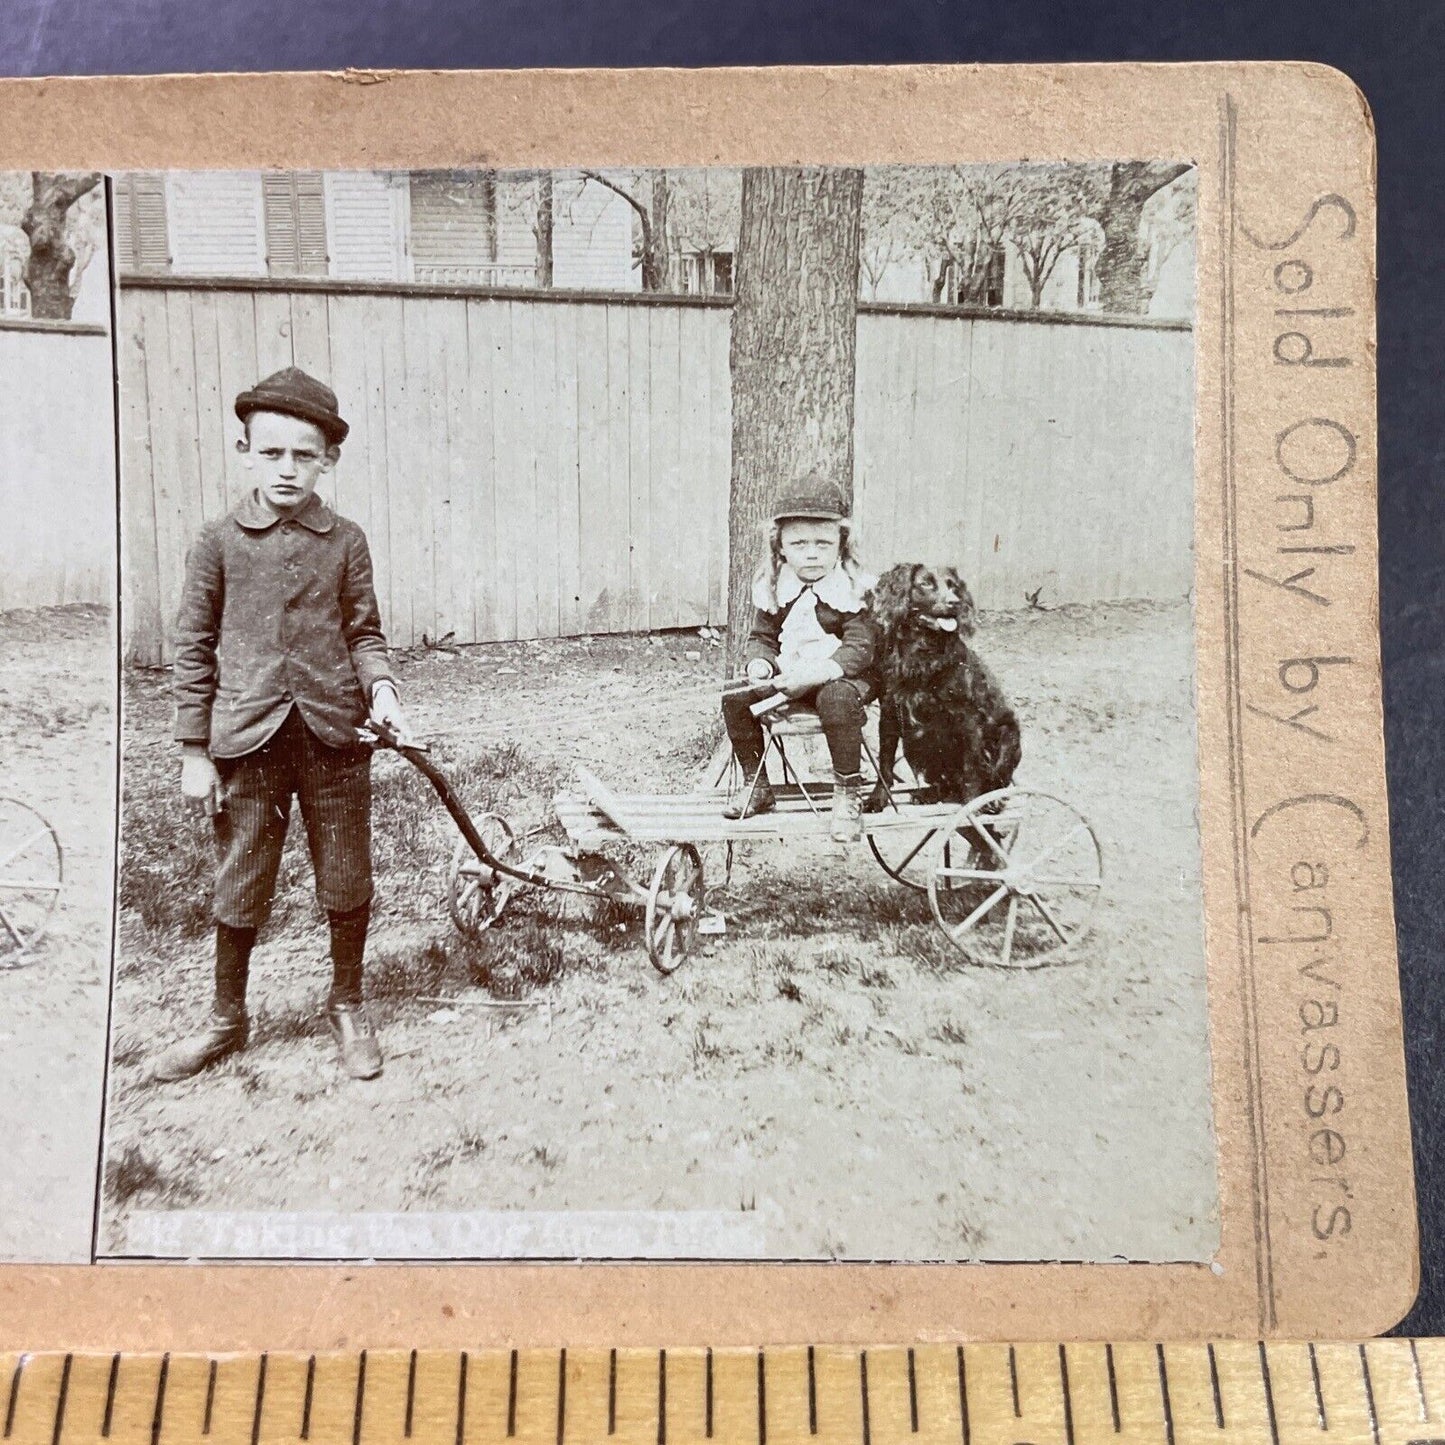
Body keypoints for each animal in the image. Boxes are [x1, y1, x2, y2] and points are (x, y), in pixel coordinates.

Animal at [861, 563, 1023, 814]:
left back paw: (991, 800)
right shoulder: (889, 714)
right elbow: (885, 764)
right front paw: (877, 799)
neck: (921, 655)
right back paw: (929, 794)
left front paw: (971, 806)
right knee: (946, 783)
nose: (954, 602)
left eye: (953, 586)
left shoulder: (967, 719)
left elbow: (971, 769)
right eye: (925, 583)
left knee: (995, 779)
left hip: (1009, 737)